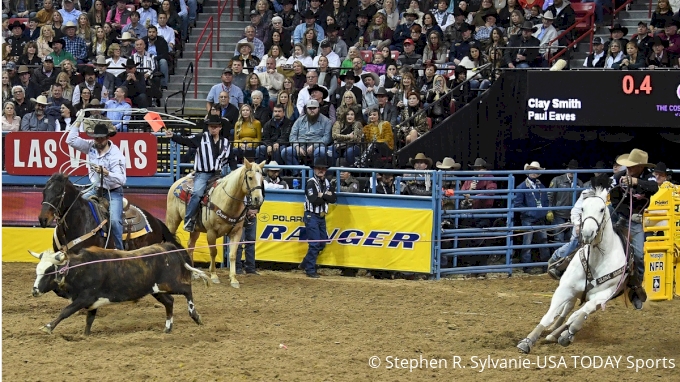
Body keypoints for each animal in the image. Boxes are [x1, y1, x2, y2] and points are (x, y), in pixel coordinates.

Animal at [166, 160, 266, 288]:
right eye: (250, 177)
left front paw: (233, 279)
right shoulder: (211, 232)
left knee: (190, 246)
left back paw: (193, 273)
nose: (258, 199)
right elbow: (213, 252)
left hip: (195, 229)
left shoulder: (236, 232)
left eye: (262, 178)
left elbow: (232, 254)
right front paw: (214, 275)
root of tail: (178, 182)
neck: (227, 201)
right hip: (172, 220)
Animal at [520, 181, 628, 354]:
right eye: (582, 208)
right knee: (567, 309)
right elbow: (550, 315)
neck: (596, 260)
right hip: (573, 292)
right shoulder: (565, 288)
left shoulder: (603, 296)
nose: (588, 233)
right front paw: (528, 341)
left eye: (602, 209)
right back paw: (552, 331)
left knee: (576, 314)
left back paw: (558, 335)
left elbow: (580, 315)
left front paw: (567, 335)